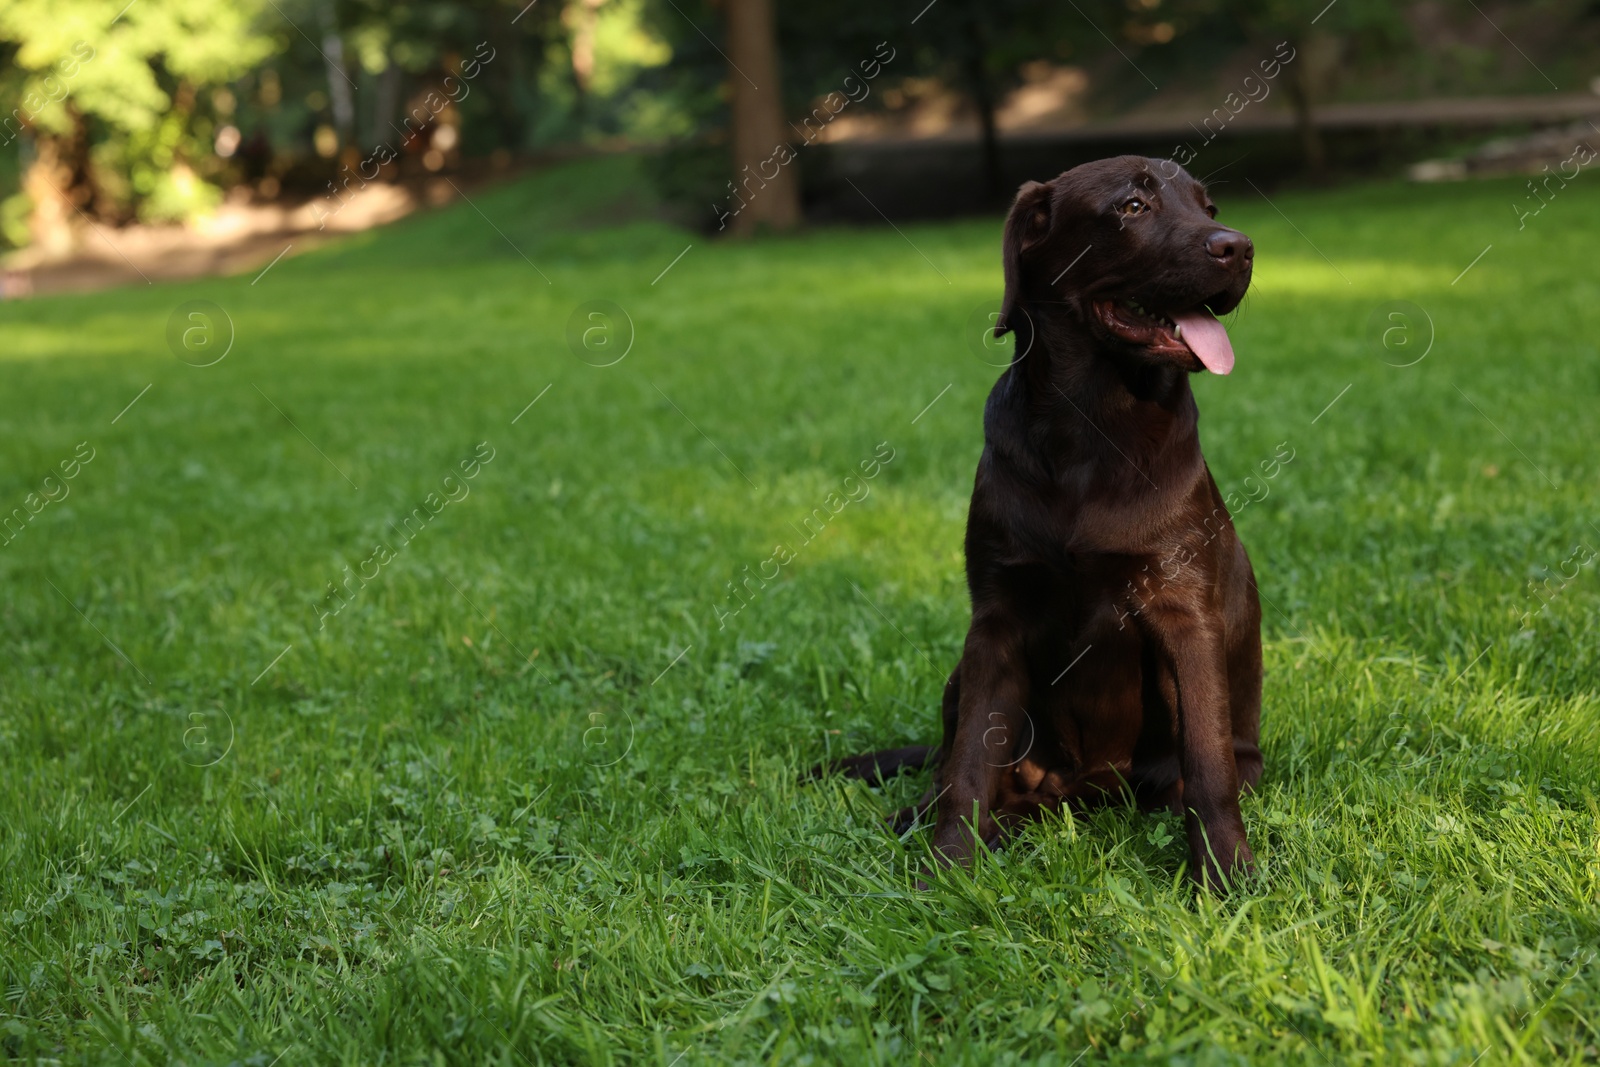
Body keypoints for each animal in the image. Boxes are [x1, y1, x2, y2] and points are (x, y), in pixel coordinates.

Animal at [825, 154, 1260, 889]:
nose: (1240, 247)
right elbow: (970, 763)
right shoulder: (996, 620)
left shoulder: (1183, 615)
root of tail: (1088, 789)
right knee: (953, 769)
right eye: (1133, 206)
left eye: (1210, 207)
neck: (1092, 425)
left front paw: (1226, 875)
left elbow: (1206, 763)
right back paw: (927, 818)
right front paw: (948, 869)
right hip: (963, 676)